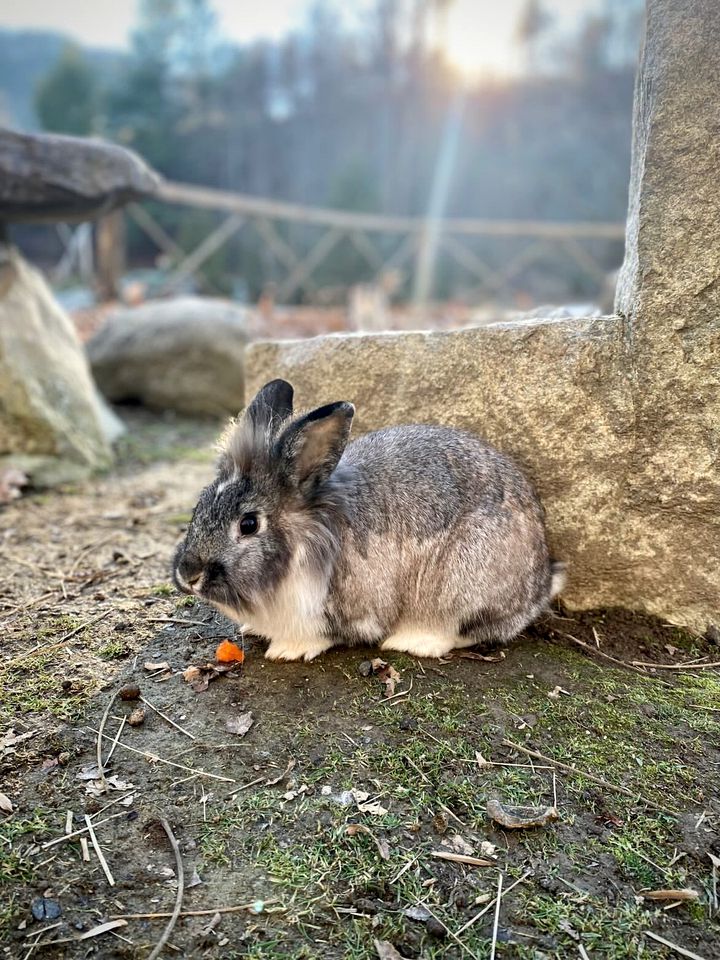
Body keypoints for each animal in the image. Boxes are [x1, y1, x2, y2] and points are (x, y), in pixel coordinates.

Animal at [172, 380, 564, 660]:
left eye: (249, 524)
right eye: (198, 507)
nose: (189, 574)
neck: (305, 532)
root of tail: (541, 582)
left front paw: (287, 651)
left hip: (461, 581)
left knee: (462, 629)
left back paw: (411, 641)